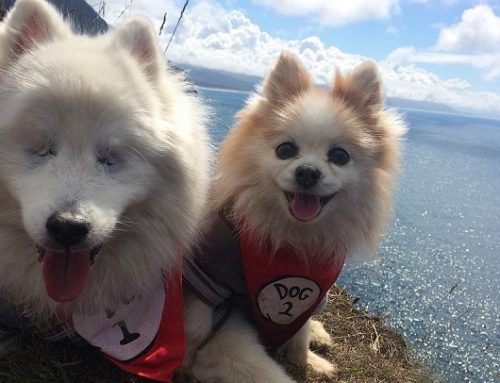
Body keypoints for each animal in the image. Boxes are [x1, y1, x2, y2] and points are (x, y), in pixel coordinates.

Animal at [188, 51, 406, 383]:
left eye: (340, 156)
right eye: (285, 149)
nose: (307, 172)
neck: (293, 239)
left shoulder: (312, 295)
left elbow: (299, 334)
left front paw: (308, 361)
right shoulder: (215, 291)